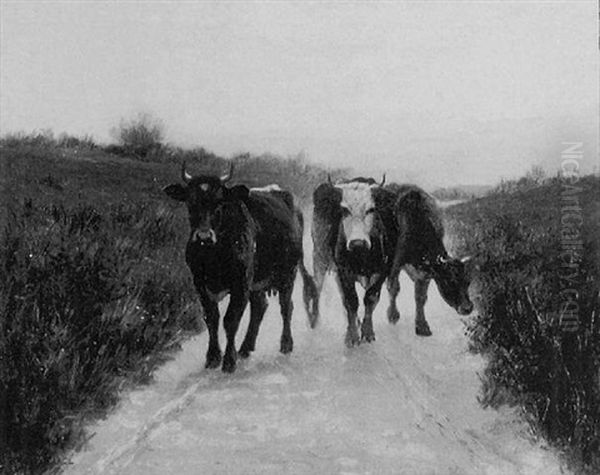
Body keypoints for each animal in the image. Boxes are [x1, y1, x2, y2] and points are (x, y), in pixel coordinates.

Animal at [162, 165, 316, 374]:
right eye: (190, 202)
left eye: (219, 202)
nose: (203, 236)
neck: (213, 254)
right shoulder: (200, 283)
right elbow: (211, 318)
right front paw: (212, 357)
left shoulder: (240, 283)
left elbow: (231, 320)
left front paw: (229, 361)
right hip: (257, 282)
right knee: (260, 307)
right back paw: (246, 347)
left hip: (287, 274)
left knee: (286, 307)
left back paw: (286, 344)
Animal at [310, 175, 398, 346]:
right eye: (344, 210)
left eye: (371, 209)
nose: (358, 243)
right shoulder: (344, 270)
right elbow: (351, 300)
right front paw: (352, 336)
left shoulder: (383, 270)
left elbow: (370, 298)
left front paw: (367, 331)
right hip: (319, 256)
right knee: (318, 286)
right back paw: (315, 320)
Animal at [386, 184, 476, 336]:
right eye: (449, 281)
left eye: (468, 282)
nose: (467, 308)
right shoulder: (395, 264)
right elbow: (394, 288)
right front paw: (392, 315)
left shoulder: (425, 273)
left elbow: (420, 298)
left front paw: (422, 326)